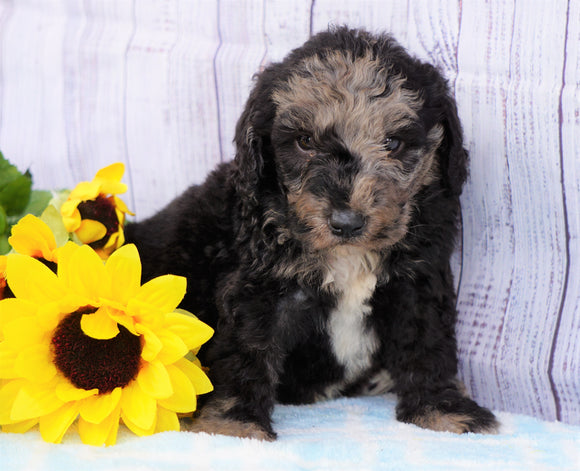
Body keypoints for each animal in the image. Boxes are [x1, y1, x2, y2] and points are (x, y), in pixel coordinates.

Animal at [127, 24, 498, 438]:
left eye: (393, 143)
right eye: (304, 141)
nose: (346, 222)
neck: (348, 257)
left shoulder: (417, 282)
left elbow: (426, 342)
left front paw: (442, 410)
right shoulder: (256, 287)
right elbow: (246, 351)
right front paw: (235, 427)